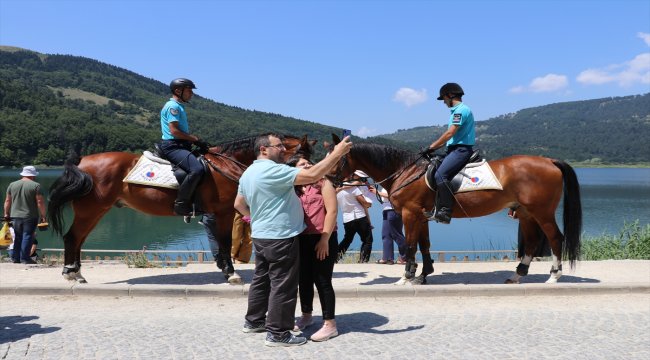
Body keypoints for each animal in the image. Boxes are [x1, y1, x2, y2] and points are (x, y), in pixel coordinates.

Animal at [48, 134, 314, 284]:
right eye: (300, 154)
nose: (309, 172)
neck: (225, 164)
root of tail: (82, 161)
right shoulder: (224, 213)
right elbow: (224, 243)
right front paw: (231, 273)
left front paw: (226, 270)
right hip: (91, 210)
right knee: (72, 237)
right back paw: (70, 273)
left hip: (96, 210)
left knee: (78, 239)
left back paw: (77, 273)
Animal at [330, 136, 584, 286]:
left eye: (337, 158)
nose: (330, 180)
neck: (407, 171)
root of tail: (549, 161)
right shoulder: (421, 216)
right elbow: (424, 244)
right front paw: (423, 274)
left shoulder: (410, 214)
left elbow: (411, 244)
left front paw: (407, 277)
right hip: (525, 213)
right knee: (531, 241)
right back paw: (517, 275)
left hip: (542, 212)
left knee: (555, 238)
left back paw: (554, 276)